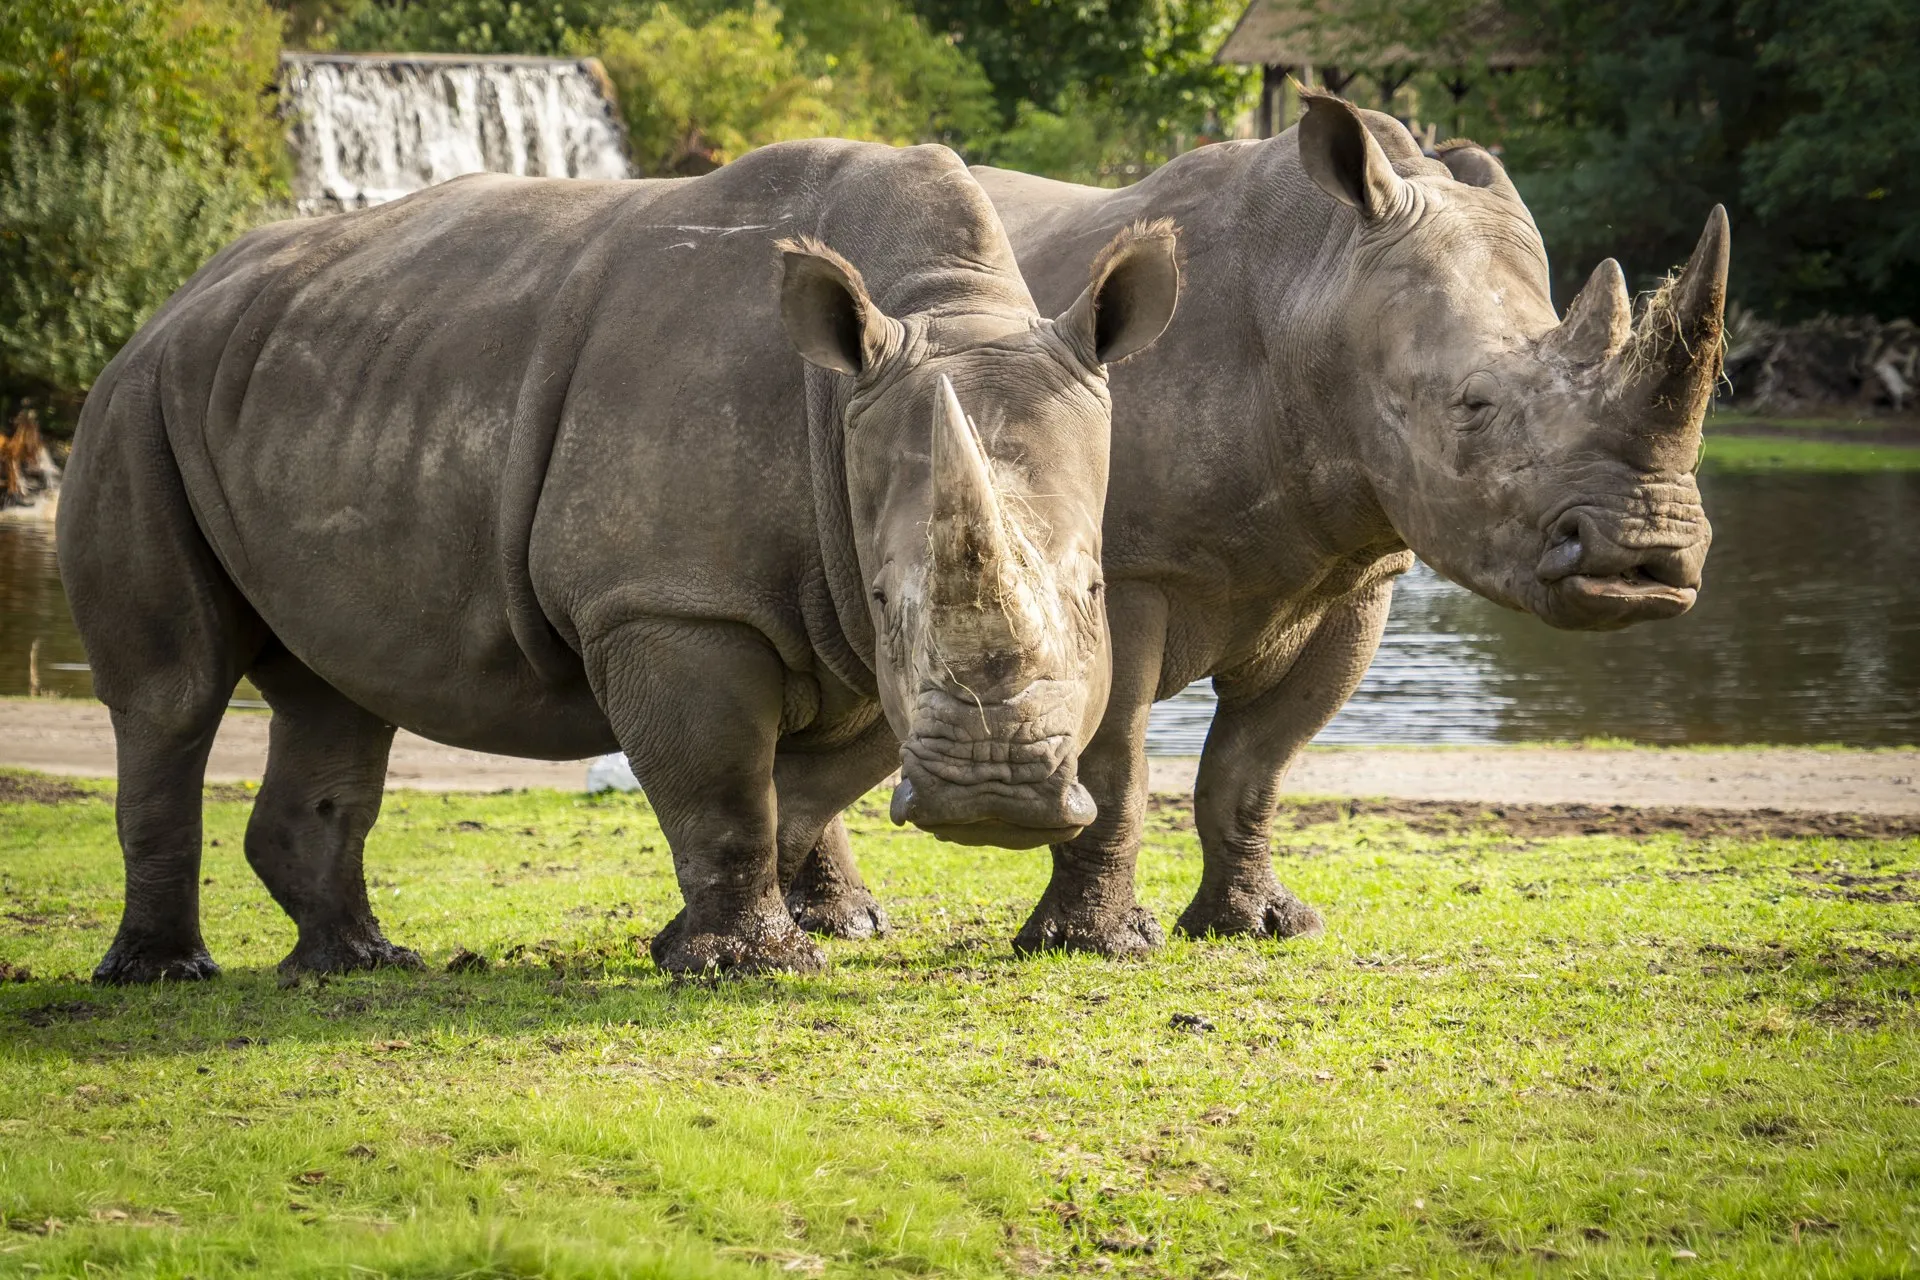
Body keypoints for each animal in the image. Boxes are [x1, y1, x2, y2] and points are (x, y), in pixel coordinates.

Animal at [59, 139, 1180, 982]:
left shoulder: (858, 646)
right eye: (883, 590)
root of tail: (174, 300)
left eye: (1093, 591)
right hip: (132, 403)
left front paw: (722, 937)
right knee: (173, 693)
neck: (938, 311)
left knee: (332, 691)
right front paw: (748, 964)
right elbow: (722, 779)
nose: (993, 799)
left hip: (294, 383)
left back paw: (357, 962)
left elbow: (808, 787)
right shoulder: (672, 603)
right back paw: (166, 972)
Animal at [780, 93, 1727, 952]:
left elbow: (1255, 765)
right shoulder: (1128, 568)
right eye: (1475, 404)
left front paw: (1259, 925)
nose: (1645, 557)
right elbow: (1116, 764)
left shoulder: (1357, 567)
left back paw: (843, 922)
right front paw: (1093, 941)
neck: (1320, 293)